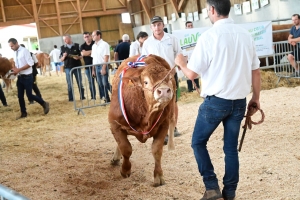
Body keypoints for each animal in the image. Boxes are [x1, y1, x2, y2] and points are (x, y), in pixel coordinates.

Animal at [109, 54, 177, 186]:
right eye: (146, 82)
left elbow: (157, 150)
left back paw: (171, 146)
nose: (164, 91)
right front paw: (125, 170)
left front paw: (158, 176)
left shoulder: (163, 125)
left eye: (169, 78)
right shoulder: (114, 124)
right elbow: (125, 148)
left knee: (173, 121)